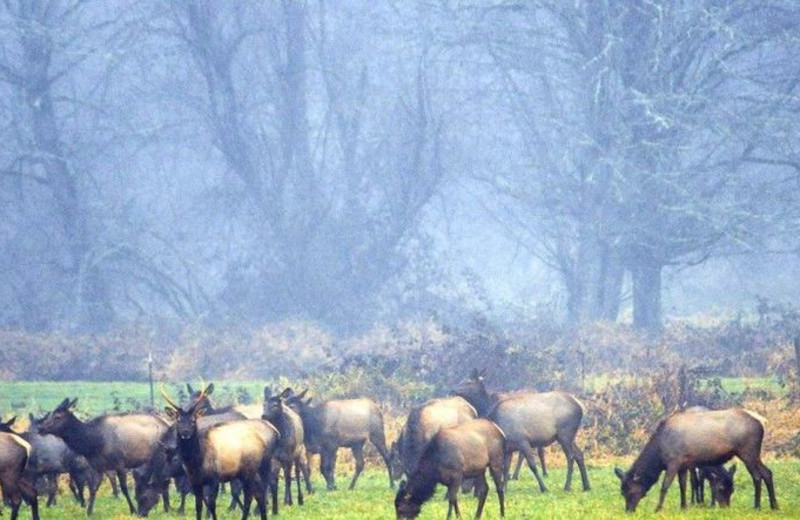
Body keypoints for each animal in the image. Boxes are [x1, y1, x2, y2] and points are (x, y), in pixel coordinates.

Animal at [36, 398, 171, 516]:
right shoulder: (98, 467)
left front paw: (133, 510)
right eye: (51, 413)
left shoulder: (120, 463)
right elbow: (93, 488)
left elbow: (124, 488)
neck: (94, 443)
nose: (41, 428)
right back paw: (165, 507)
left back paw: (166, 507)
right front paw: (89, 511)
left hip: (160, 455)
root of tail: (167, 425)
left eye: (58, 416)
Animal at [161, 382, 280, 520]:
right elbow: (198, 504)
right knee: (259, 491)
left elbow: (211, 502)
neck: (196, 460)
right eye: (179, 419)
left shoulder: (214, 479)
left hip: (255, 470)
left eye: (193, 420)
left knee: (256, 492)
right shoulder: (195, 480)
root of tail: (276, 432)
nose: (185, 433)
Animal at [454, 368, 592, 494]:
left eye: (468, 382)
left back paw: (567, 486)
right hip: (569, 436)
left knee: (571, 457)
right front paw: (504, 489)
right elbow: (505, 468)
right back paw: (586, 486)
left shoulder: (522, 441)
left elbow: (532, 465)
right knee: (579, 454)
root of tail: (580, 406)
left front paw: (543, 487)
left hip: (565, 434)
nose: (453, 390)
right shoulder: (509, 448)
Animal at [612, 408, 776, 510]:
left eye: (629, 491)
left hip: (748, 451)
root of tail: (763, 422)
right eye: (622, 492)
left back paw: (757, 506)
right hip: (752, 453)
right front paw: (684, 506)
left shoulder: (674, 461)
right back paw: (774, 505)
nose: (629, 510)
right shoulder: (684, 465)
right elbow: (684, 485)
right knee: (767, 473)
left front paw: (658, 508)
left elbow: (665, 486)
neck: (659, 452)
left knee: (757, 476)